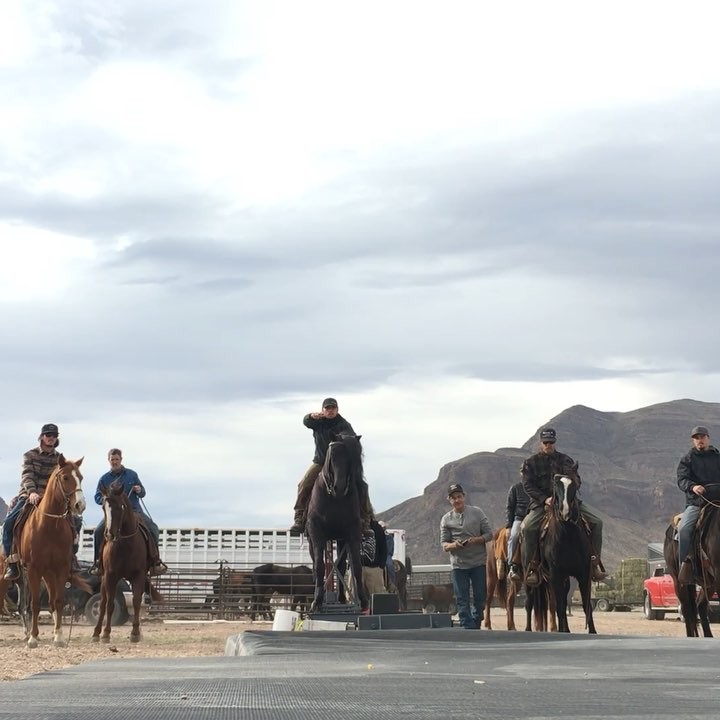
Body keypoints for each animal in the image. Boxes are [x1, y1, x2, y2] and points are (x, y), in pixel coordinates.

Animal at [16, 455, 91, 647]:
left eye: (81, 477)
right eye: (65, 477)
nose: (80, 505)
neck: (48, 526)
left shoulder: (61, 569)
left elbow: (58, 601)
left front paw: (59, 637)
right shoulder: (33, 569)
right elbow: (34, 604)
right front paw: (33, 638)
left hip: (49, 574)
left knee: (51, 602)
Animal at [92, 481, 161, 643]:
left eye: (120, 506)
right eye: (103, 507)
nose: (109, 534)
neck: (125, 544)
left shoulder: (139, 575)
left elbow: (136, 602)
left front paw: (135, 633)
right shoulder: (110, 575)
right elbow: (110, 604)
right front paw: (106, 634)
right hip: (103, 578)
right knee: (103, 603)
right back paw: (96, 633)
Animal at [305, 433, 368, 613]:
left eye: (353, 457)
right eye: (332, 454)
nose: (339, 487)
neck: (334, 499)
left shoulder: (352, 533)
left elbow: (356, 566)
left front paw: (363, 600)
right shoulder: (317, 534)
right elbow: (319, 566)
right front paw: (317, 601)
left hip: (340, 540)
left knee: (340, 566)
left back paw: (341, 598)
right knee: (316, 564)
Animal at [526, 473, 596, 634]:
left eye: (574, 487)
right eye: (555, 488)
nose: (565, 511)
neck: (568, 536)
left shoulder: (583, 573)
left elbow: (586, 605)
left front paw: (592, 631)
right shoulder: (555, 575)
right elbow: (559, 606)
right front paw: (562, 630)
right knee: (529, 602)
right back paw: (528, 628)